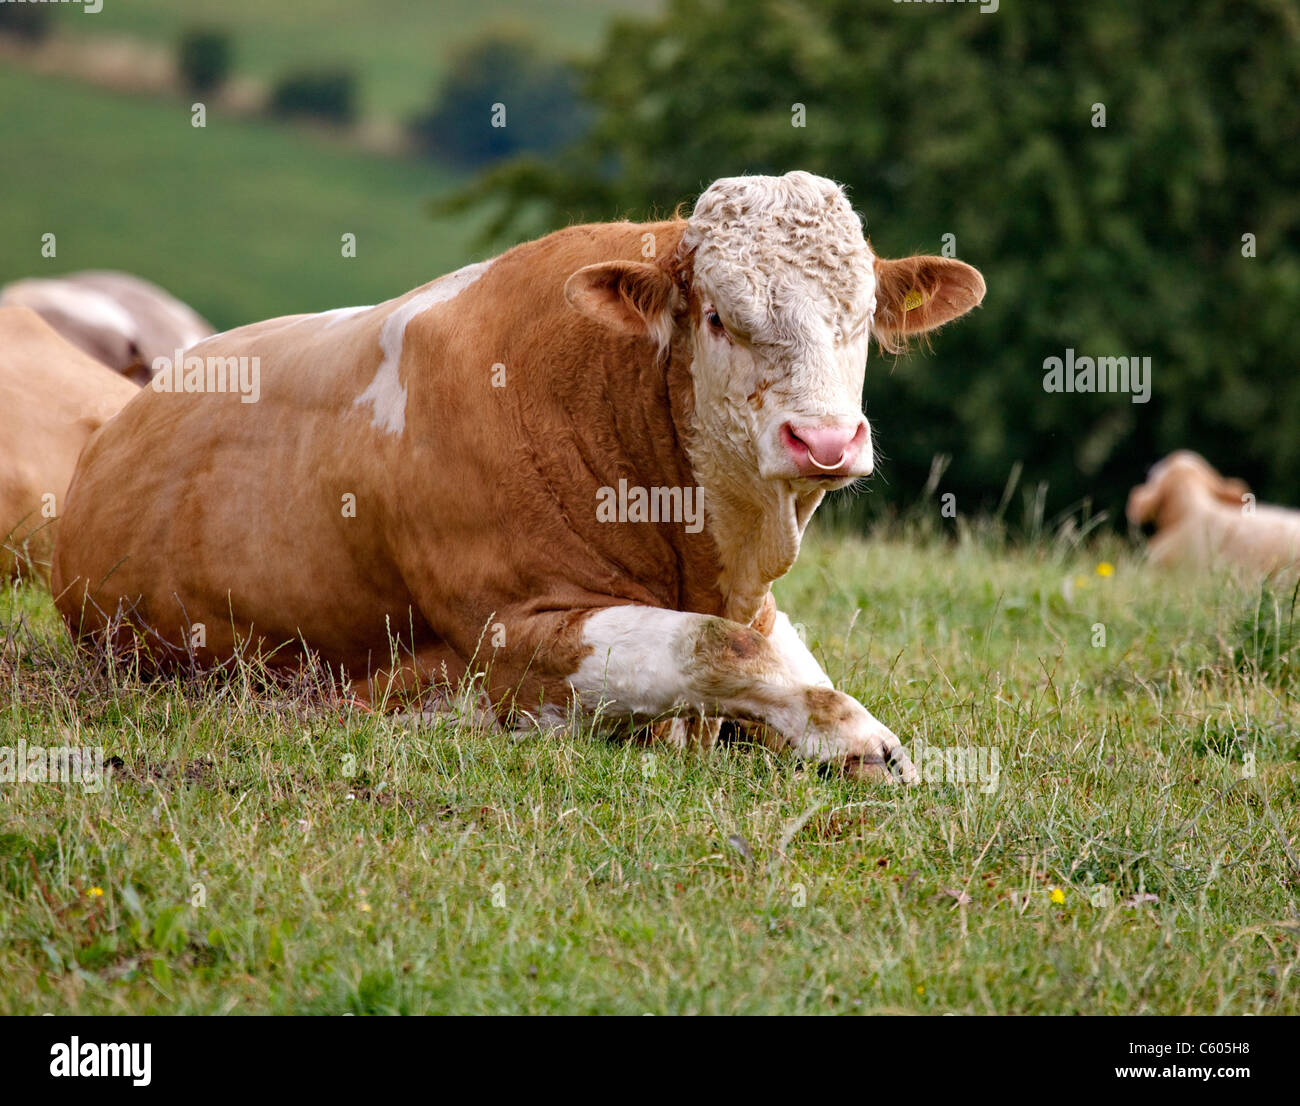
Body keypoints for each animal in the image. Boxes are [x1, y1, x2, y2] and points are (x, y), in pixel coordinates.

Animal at [53, 170, 982, 779]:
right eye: (719, 317)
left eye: (861, 317)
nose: (823, 441)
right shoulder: (512, 637)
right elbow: (716, 647)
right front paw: (859, 738)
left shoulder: (756, 603)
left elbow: (778, 649)